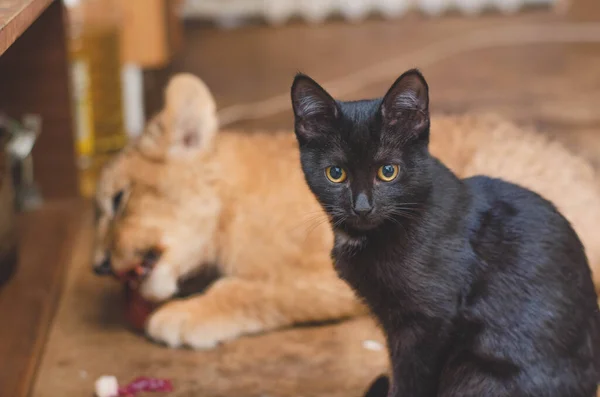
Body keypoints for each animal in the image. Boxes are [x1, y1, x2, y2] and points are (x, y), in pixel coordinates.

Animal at [290, 69, 600, 394]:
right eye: (335, 174)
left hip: (473, 372)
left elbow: (411, 379)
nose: (362, 207)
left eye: (388, 171)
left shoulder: (429, 321)